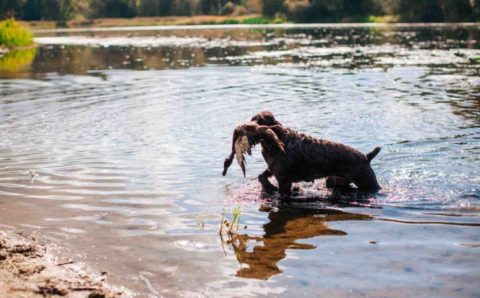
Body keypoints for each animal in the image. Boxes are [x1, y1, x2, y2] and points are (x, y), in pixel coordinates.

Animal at [222, 112, 382, 193]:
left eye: (261, 121)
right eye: (252, 119)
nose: (246, 126)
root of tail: (366, 157)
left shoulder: (283, 179)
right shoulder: (275, 168)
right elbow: (262, 176)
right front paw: (268, 186)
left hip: (367, 183)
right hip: (333, 181)